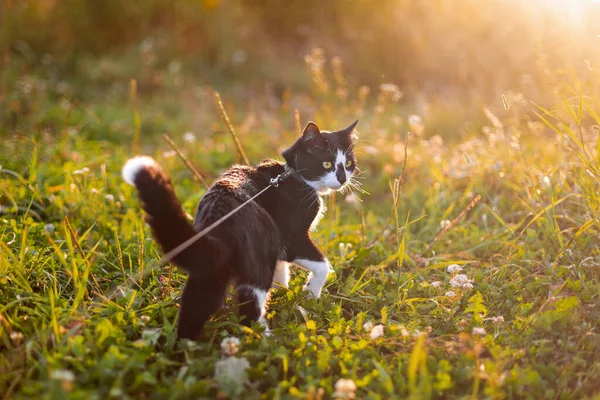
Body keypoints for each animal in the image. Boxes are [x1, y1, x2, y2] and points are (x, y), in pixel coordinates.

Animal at [119, 120, 358, 340]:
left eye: (348, 163)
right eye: (326, 164)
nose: (342, 178)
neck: (293, 175)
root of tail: (218, 218)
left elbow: (282, 271)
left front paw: (284, 291)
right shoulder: (292, 238)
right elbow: (322, 265)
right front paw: (311, 293)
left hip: (210, 268)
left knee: (195, 307)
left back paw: (185, 348)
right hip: (257, 257)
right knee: (249, 309)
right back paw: (265, 341)